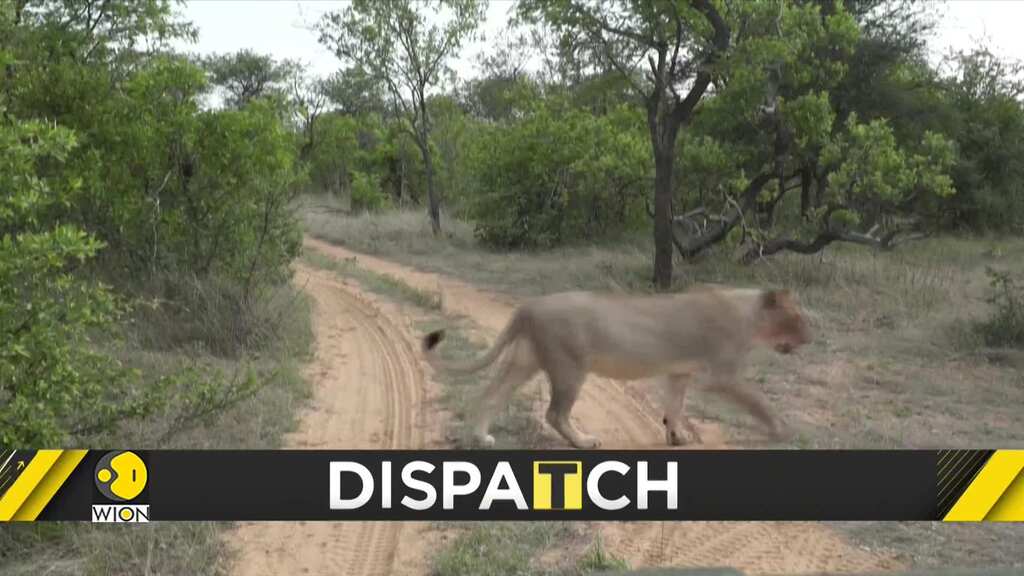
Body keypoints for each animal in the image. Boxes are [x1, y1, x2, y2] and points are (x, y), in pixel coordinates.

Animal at [422, 286, 811, 449]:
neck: (750, 314)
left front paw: (676, 437)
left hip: (525, 361)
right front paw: (782, 429)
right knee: (555, 413)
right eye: (798, 316)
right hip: (570, 367)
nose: (811, 335)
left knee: (489, 395)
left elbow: (674, 406)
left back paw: (481, 437)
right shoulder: (722, 376)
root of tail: (528, 306)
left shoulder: (679, 372)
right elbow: (759, 401)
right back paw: (584, 442)